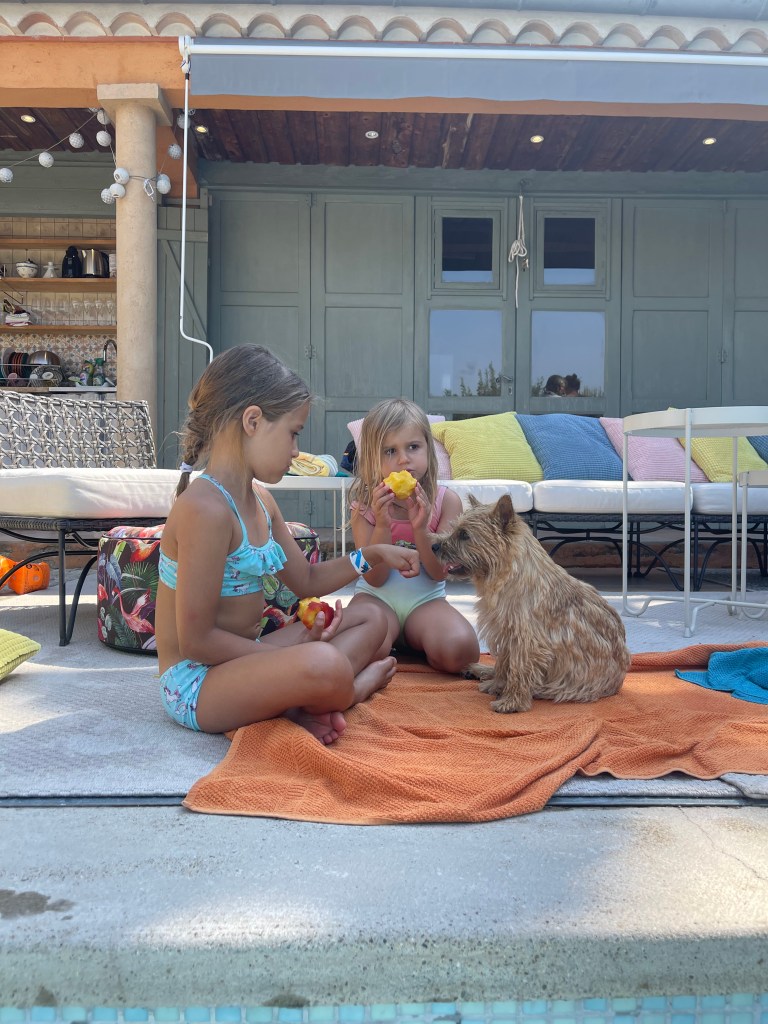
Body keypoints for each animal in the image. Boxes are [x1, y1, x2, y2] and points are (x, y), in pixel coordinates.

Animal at [432, 494, 631, 713]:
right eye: (454, 529)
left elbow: (518, 669)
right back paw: (479, 669)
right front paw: (497, 685)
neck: (509, 575)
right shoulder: (504, 631)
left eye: (464, 534)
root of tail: (618, 683)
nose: (434, 546)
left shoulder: (525, 638)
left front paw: (512, 702)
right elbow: (503, 664)